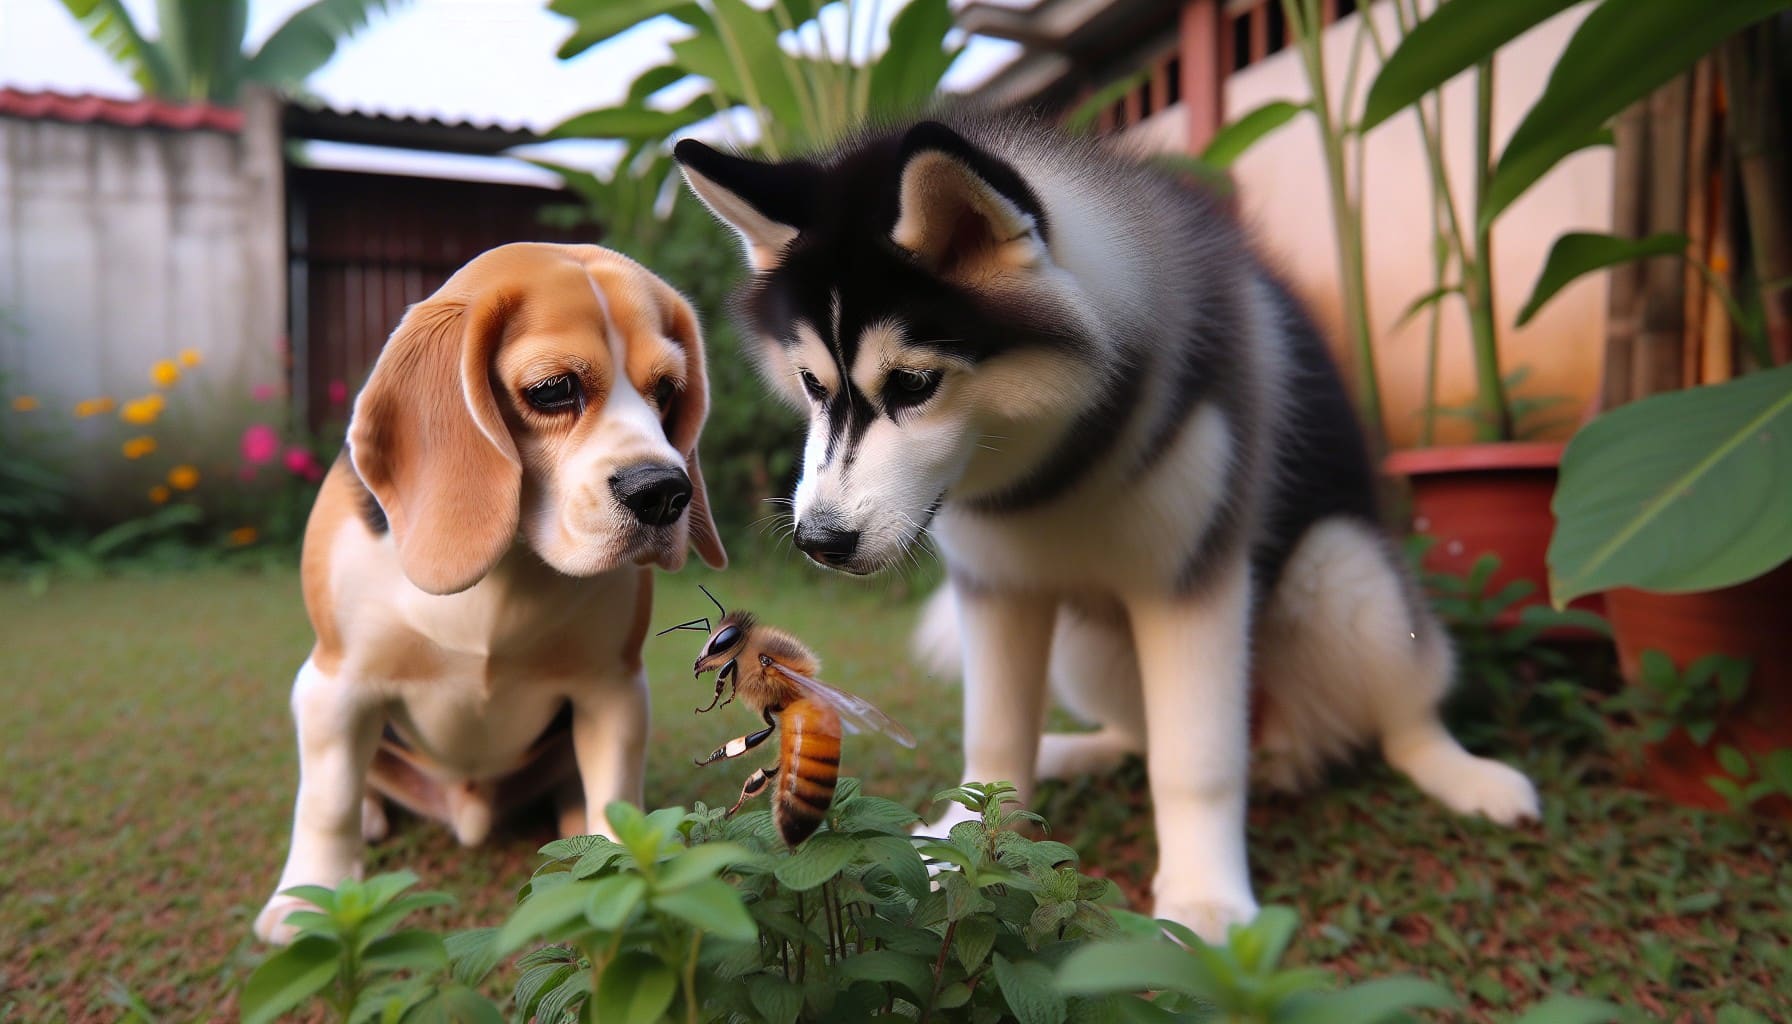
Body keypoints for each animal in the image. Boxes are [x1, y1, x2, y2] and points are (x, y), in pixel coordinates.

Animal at [254, 242, 727, 946]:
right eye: (554, 390)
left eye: (668, 392)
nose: (666, 492)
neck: (510, 563)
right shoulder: (335, 682)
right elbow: (327, 800)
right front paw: (304, 902)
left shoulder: (613, 686)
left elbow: (616, 786)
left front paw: (628, 881)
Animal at [673, 112, 1541, 939]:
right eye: (812, 384)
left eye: (915, 383)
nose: (819, 542)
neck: (1052, 472)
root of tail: (1287, 743)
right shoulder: (997, 588)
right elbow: (995, 737)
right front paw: (960, 837)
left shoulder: (1194, 581)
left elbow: (1196, 758)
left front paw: (1203, 899)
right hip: (1087, 647)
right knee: (1138, 734)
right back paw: (1073, 750)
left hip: (1346, 571)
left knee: (1399, 712)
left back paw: (1463, 773)